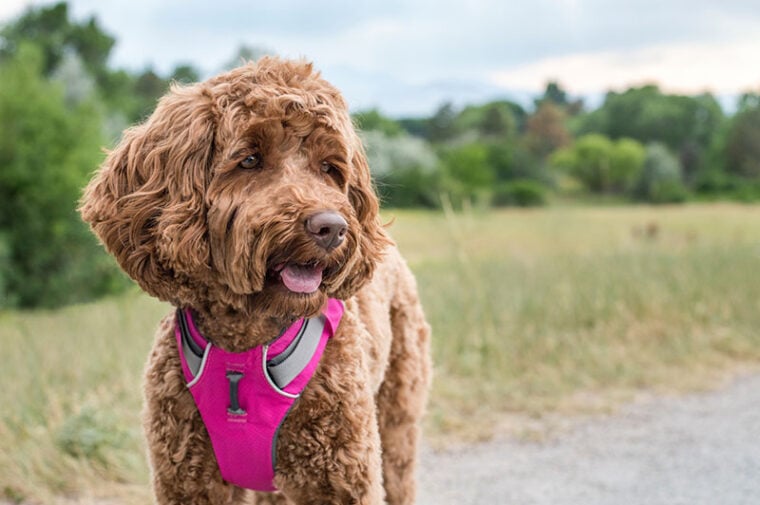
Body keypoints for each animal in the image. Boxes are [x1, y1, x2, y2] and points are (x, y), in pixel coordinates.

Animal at [81, 57, 434, 502]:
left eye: (329, 168)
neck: (246, 343)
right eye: (249, 160)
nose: (331, 228)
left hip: (397, 420)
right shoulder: (188, 478)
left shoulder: (341, 477)